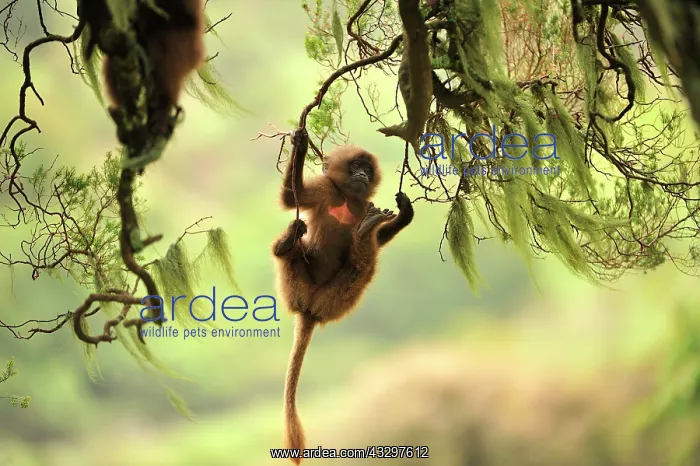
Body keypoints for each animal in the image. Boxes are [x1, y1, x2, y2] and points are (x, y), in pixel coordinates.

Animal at [272, 128, 414, 463]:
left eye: (367, 169)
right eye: (355, 166)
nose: (362, 174)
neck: (348, 199)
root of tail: (310, 310)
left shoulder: (365, 204)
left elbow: (380, 238)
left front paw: (404, 216)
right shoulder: (326, 188)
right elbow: (292, 197)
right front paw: (300, 142)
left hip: (337, 299)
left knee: (363, 264)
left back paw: (363, 234)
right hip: (297, 288)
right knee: (295, 250)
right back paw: (286, 245)